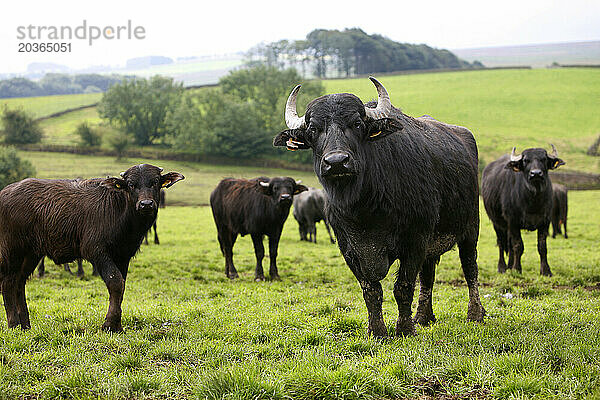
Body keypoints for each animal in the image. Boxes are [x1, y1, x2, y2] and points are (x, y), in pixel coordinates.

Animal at [274, 76, 486, 336]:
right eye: (313, 129)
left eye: (356, 124)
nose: (337, 162)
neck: (365, 208)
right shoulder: (348, 247)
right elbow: (371, 290)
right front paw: (377, 331)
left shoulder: (415, 239)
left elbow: (403, 287)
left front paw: (404, 329)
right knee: (428, 274)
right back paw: (423, 317)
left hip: (470, 227)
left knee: (470, 268)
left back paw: (474, 314)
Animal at [480, 146, 564, 276]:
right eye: (525, 160)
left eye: (544, 159)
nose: (536, 173)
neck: (533, 201)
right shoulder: (513, 222)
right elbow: (518, 246)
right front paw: (517, 269)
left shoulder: (545, 222)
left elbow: (542, 247)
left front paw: (546, 271)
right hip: (496, 222)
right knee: (501, 243)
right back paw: (502, 267)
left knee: (509, 245)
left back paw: (509, 266)